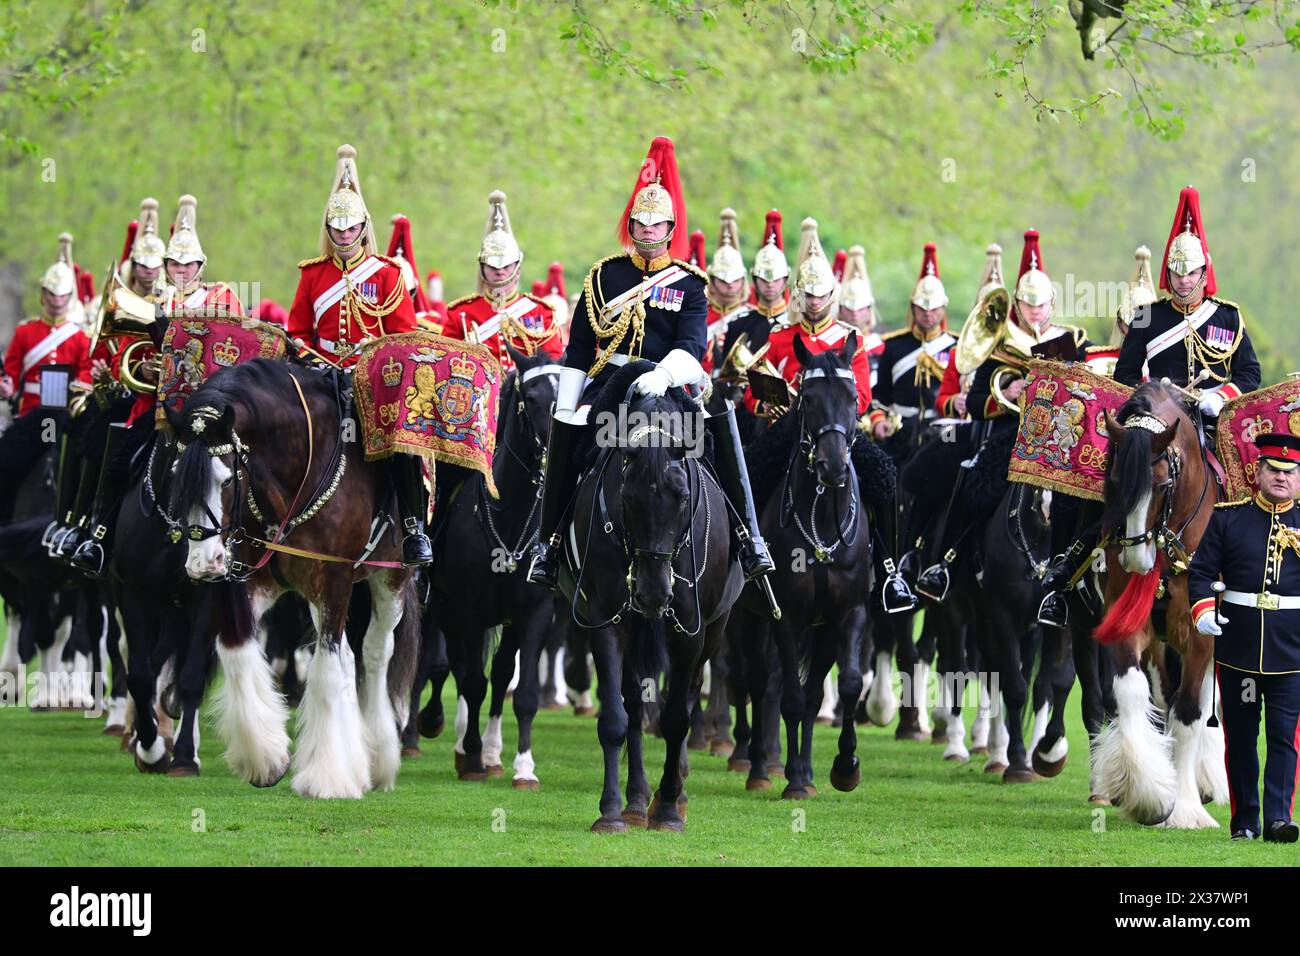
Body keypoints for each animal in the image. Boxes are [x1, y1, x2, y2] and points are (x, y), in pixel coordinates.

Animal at [163, 358, 416, 801]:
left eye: (227, 479)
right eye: (177, 475)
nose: (203, 563)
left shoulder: (334, 580)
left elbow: (327, 673)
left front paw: (327, 778)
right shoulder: (252, 580)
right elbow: (235, 650)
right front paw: (266, 758)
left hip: (390, 582)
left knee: (373, 653)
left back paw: (377, 758)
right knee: (347, 657)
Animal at [428, 343, 561, 785]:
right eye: (531, 398)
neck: (509, 516)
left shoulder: (535, 612)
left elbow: (523, 693)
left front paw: (524, 766)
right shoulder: (466, 610)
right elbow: (472, 682)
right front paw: (470, 756)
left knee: (501, 673)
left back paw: (493, 750)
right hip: (446, 609)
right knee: (457, 666)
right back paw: (456, 739)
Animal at [1092, 382, 1222, 832]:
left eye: (1163, 485)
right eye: (1115, 479)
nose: (1137, 561)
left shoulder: (1202, 636)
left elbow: (1189, 714)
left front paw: (1184, 809)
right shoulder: (1127, 621)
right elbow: (1131, 692)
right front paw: (1150, 794)